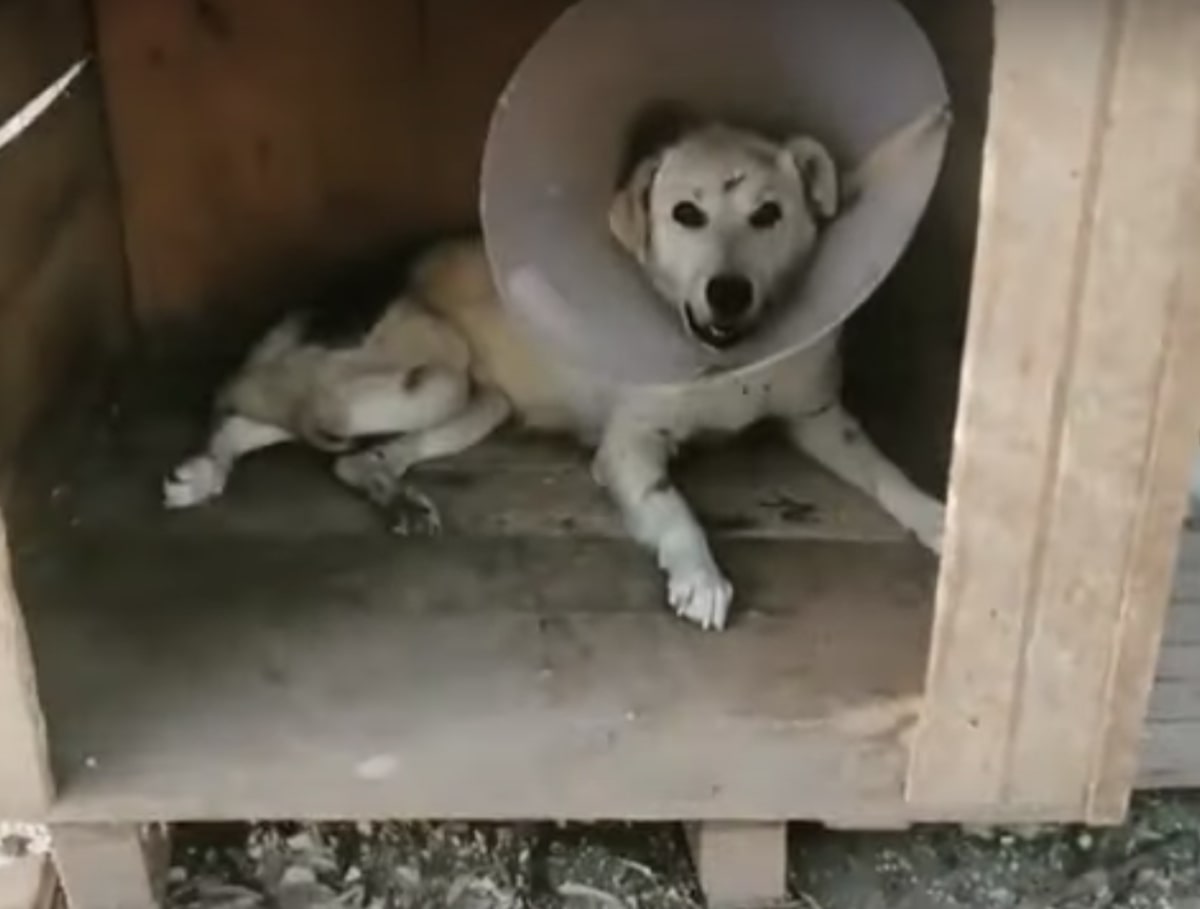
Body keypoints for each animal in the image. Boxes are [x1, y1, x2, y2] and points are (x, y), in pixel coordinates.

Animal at [162, 122, 945, 633]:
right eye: (685, 213)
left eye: (769, 214)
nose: (727, 293)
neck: (728, 360)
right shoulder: (629, 448)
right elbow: (675, 510)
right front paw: (699, 575)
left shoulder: (821, 418)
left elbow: (888, 475)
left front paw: (941, 517)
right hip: (423, 376)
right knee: (260, 407)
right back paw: (203, 472)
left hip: (479, 403)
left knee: (354, 460)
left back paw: (396, 496)